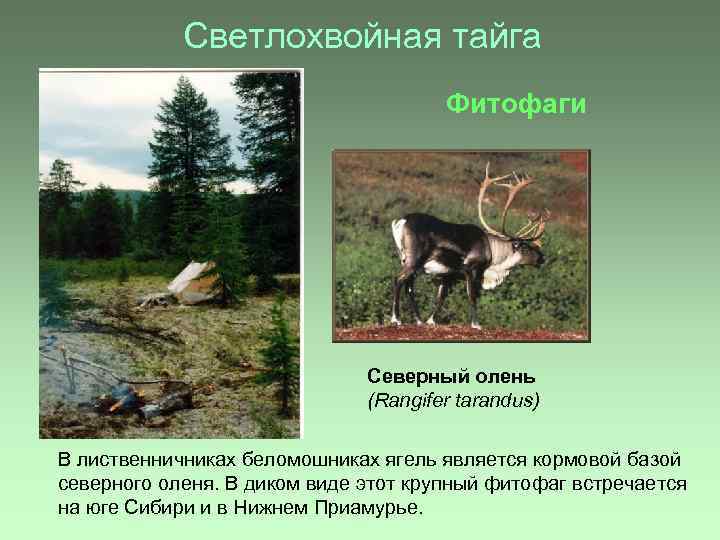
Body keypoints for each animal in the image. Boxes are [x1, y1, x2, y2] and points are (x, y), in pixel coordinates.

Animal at [390, 162, 550, 329]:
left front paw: (430, 321)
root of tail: (401, 222)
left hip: (408, 262)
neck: (493, 253)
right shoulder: (471, 269)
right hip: (413, 260)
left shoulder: (449, 275)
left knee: (409, 287)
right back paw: (396, 319)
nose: (542, 258)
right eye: (525, 246)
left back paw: (419, 320)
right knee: (398, 279)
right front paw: (476, 324)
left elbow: (441, 297)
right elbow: (472, 296)